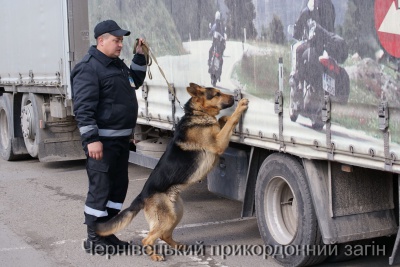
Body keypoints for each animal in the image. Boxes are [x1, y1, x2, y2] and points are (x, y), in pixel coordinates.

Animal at [95, 82, 248, 260]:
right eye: (217, 94)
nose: (234, 98)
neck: (198, 113)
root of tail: (142, 196)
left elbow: (222, 121)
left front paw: (224, 118)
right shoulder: (218, 143)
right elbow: (229, 122)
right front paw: (240, 107)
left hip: (176, 213)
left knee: (164, 235)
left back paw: (178, 246)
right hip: (167, 218)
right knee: (148, 239)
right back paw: (154, 256)